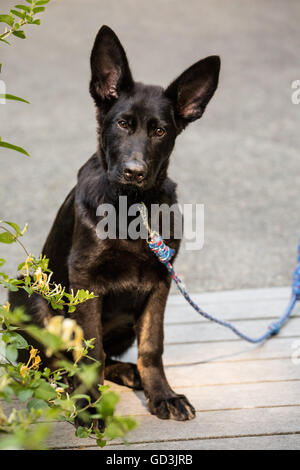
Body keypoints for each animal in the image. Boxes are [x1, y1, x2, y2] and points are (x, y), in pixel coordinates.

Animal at [9, 26, 220, 426]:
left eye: (160, 131)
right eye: (122, 124)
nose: (134, 172)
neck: (133, 207)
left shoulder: (160, 281)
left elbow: (152, 346)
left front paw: (163, 395)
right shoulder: (85, 280)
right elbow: (88, 352)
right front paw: (89, 406)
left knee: (109, 356)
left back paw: (128, 372)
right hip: (30, 294)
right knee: (52, 362)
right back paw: (69, 385)